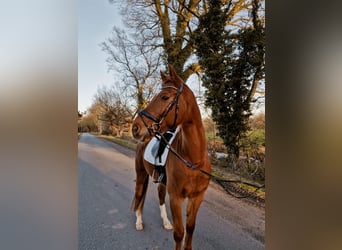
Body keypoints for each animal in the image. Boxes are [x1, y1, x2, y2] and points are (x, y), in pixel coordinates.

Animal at [132, 65, 210, 249]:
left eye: (165, 97)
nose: (135, 127)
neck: (193, 161)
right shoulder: (176, 198)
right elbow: (179, 233)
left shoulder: (197, 197)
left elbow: (190, 228)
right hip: (141, 175)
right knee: (139, 196)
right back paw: (139, 222)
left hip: (161, 181)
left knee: (160, 197)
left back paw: (166, 222)